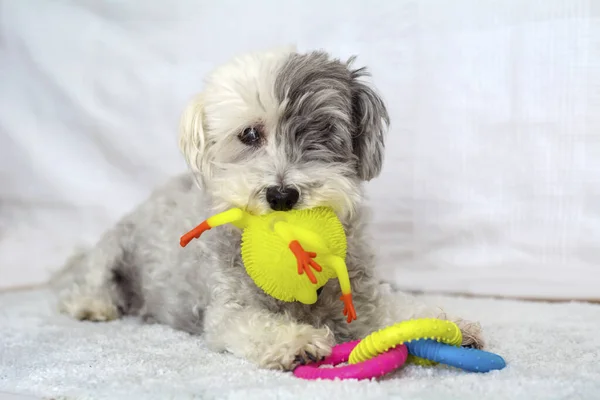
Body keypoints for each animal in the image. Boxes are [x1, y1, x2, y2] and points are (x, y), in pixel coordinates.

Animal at [52, 47, 488, 372]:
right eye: (249, 134)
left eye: (321, 130)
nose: (281, 195)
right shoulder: (228, 309)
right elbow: (253, 323)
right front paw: (297, 340)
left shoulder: (362, 293)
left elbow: (396, 307)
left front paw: (447, 324)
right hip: (113, 248)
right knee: (87, 281)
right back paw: (93, 305)